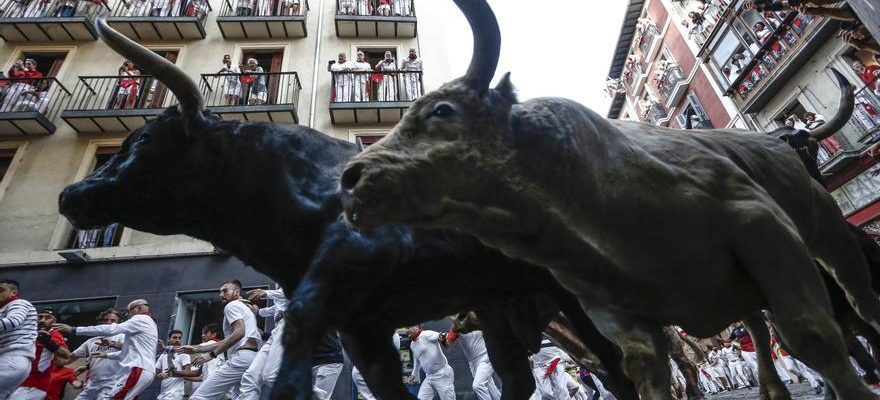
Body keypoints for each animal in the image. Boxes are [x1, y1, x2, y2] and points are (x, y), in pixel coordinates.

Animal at [58, 18, 640, 400]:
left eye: (147, 141)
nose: (71, 195)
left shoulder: (337, 293)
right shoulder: (363, 330)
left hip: (569, 297)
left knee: (612, 363)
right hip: (496, 302)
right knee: (516, 375)